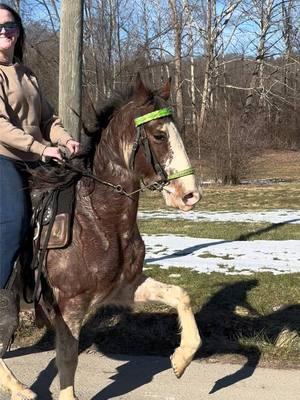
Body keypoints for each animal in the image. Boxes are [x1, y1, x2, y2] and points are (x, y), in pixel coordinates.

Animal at [0, 76, 202, 400]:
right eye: (159, 135)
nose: (190, 194)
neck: (97, 219)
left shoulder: (124, 287)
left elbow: (179, 295)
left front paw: (181, 359)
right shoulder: (70, 305)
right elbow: (68, 357)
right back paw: (19, 388)